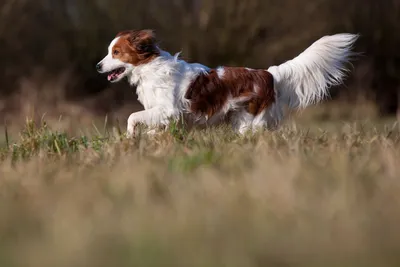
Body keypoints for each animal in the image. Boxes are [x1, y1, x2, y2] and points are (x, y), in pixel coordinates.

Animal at [95, 29, 358, 136]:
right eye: (109, 51)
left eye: (116, 52)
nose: (97, 66)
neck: (149, 67)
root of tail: (268, 74)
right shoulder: (164, 115)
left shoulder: (168, 110)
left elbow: (132, 117)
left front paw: (130, 136)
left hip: (251, 121)